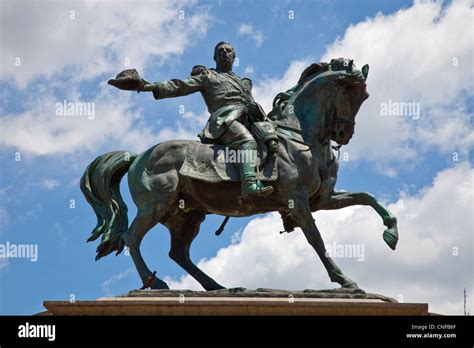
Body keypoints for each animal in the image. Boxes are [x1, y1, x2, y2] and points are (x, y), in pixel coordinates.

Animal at [79, 59, 398, 290]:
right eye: (350, 92)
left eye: (365, 95)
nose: (344, 135)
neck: (303, 137)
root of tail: (138, 156)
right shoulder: (297, 200)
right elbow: (316, 238)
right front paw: (345, 280)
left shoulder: (322, 199)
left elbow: (367, 197)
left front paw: (391, 232)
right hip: (155, 205)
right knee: (133, 237)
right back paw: (155, 283)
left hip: (186, 214)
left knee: (178, 253)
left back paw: (218, 287)